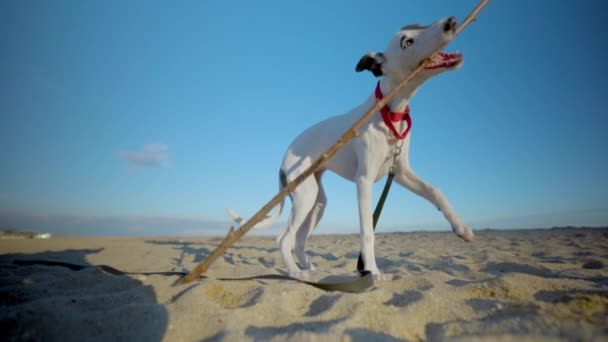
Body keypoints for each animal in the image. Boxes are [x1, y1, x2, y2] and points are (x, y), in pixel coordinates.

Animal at [228, 16, 476, 280]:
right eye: (406, 42)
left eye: (419, 24)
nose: (450, 22)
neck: (390, 111)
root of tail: (283, 161)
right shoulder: (364, 181)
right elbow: (367, 230)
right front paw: (371, 271)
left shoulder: (400, 172)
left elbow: (435, 191)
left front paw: (462, 228)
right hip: (305, 196)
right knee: (284, 239)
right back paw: (296, 273)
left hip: (317, 202)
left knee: (299, 240)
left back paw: (308, 267)